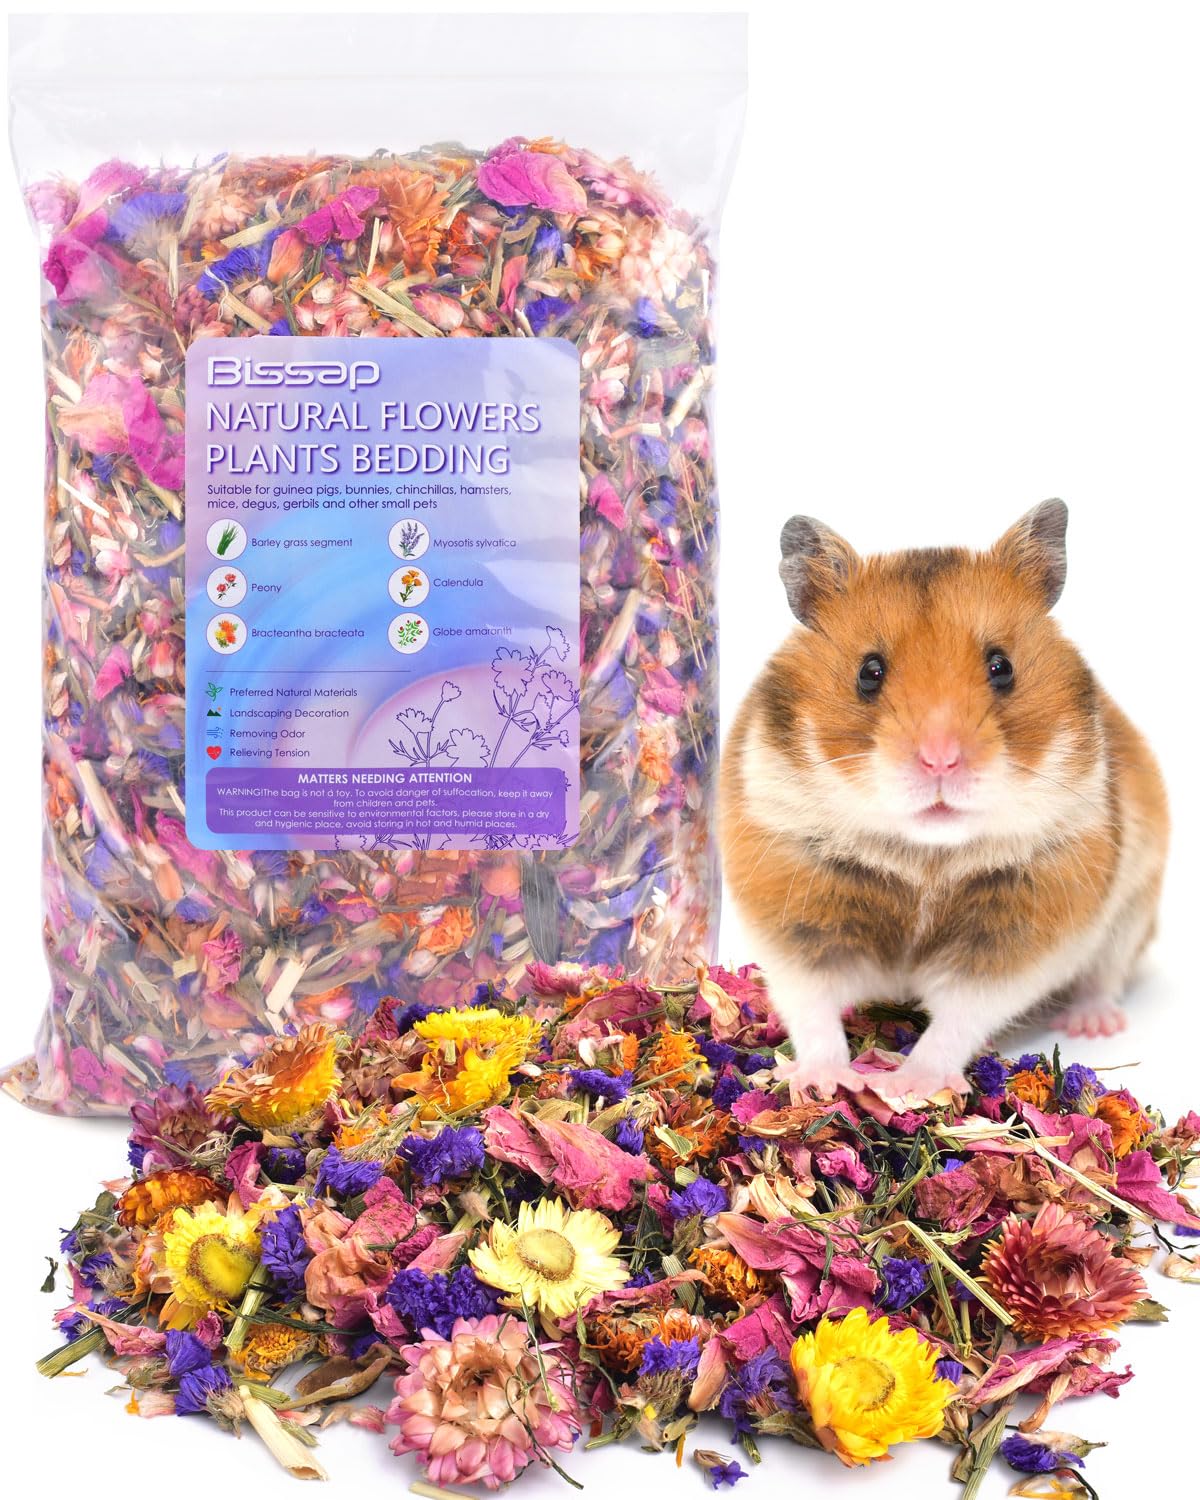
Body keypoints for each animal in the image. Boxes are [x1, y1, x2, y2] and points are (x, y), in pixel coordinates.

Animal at [719, 501, 1168, 1100]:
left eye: (1001, 667)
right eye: (869, 672)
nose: (940, 761)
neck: (924, 855)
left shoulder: (1020, 928)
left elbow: (959, 1014)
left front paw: (909, 1085)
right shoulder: (793, 909)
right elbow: (812, 1006)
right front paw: (823, 1083)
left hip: (1134, 908)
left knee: (1104, 975)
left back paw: (1093, 1024)